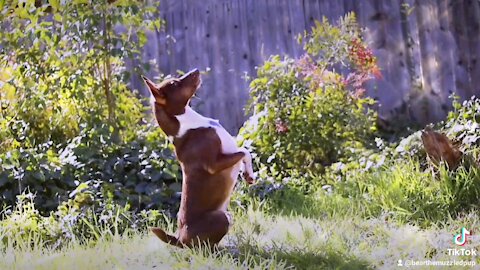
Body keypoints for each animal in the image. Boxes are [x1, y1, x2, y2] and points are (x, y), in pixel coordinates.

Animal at [141, 69, 255, 249]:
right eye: (174, 84)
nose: (196, 70)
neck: (185, 123)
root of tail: (179, 240)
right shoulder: (214, 164)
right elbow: (244, 151)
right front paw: (249, 173)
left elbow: (245, 152)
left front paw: (247, 174)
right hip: (221, 218)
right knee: (205, 248)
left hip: (227, 215)